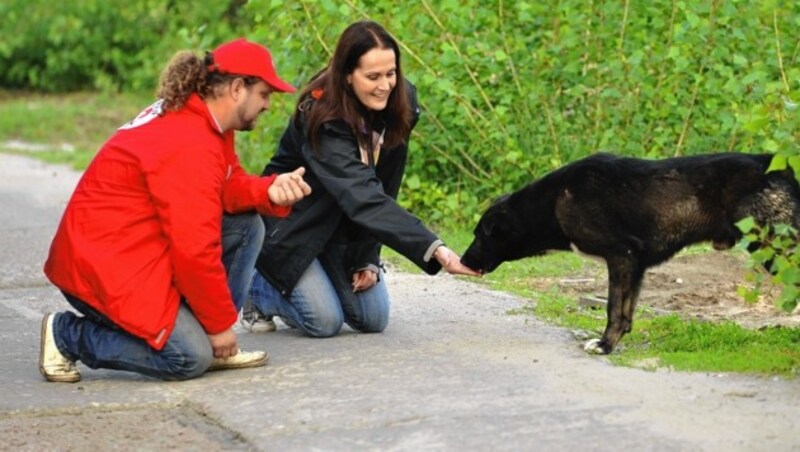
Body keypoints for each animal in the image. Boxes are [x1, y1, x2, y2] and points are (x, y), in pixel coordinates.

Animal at [462, 154, 800, 354]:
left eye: (480, 236)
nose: (463, 261)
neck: (554, 201)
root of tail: (774, 163)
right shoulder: (634, 266)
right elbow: (626, 314)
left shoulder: (621, 257)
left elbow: (613, 310)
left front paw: (604, 345)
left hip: (774, 249)